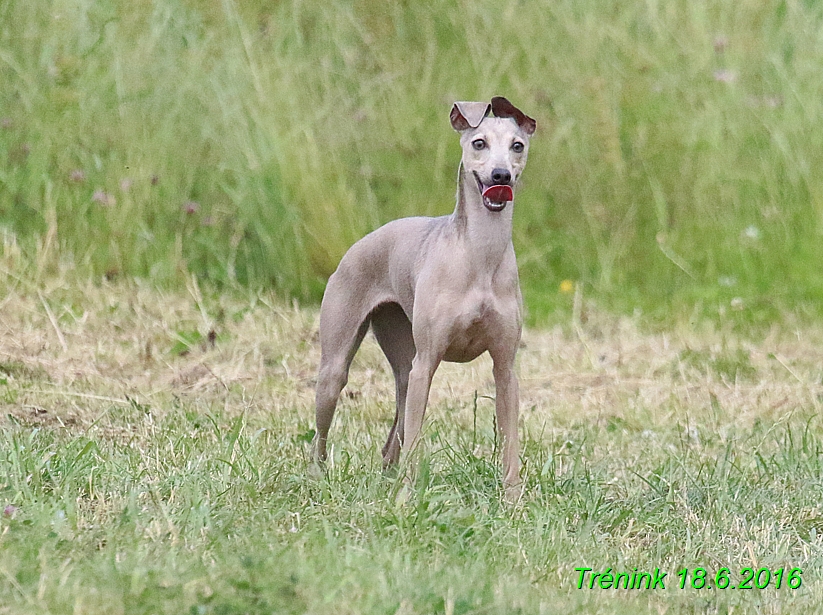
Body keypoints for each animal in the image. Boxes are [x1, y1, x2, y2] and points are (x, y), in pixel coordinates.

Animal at [312, 96, 536, 500]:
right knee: (320, 439)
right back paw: (319, 480)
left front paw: (512, 500)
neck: (478, 257)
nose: (500, 176)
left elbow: (510, 440)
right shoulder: (428, 362)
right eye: (479, 142)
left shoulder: (505, 369)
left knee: (392, 440)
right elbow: (416, 441)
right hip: (338, 369)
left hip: (403, 366)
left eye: (517, 146)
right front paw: (406, 499)